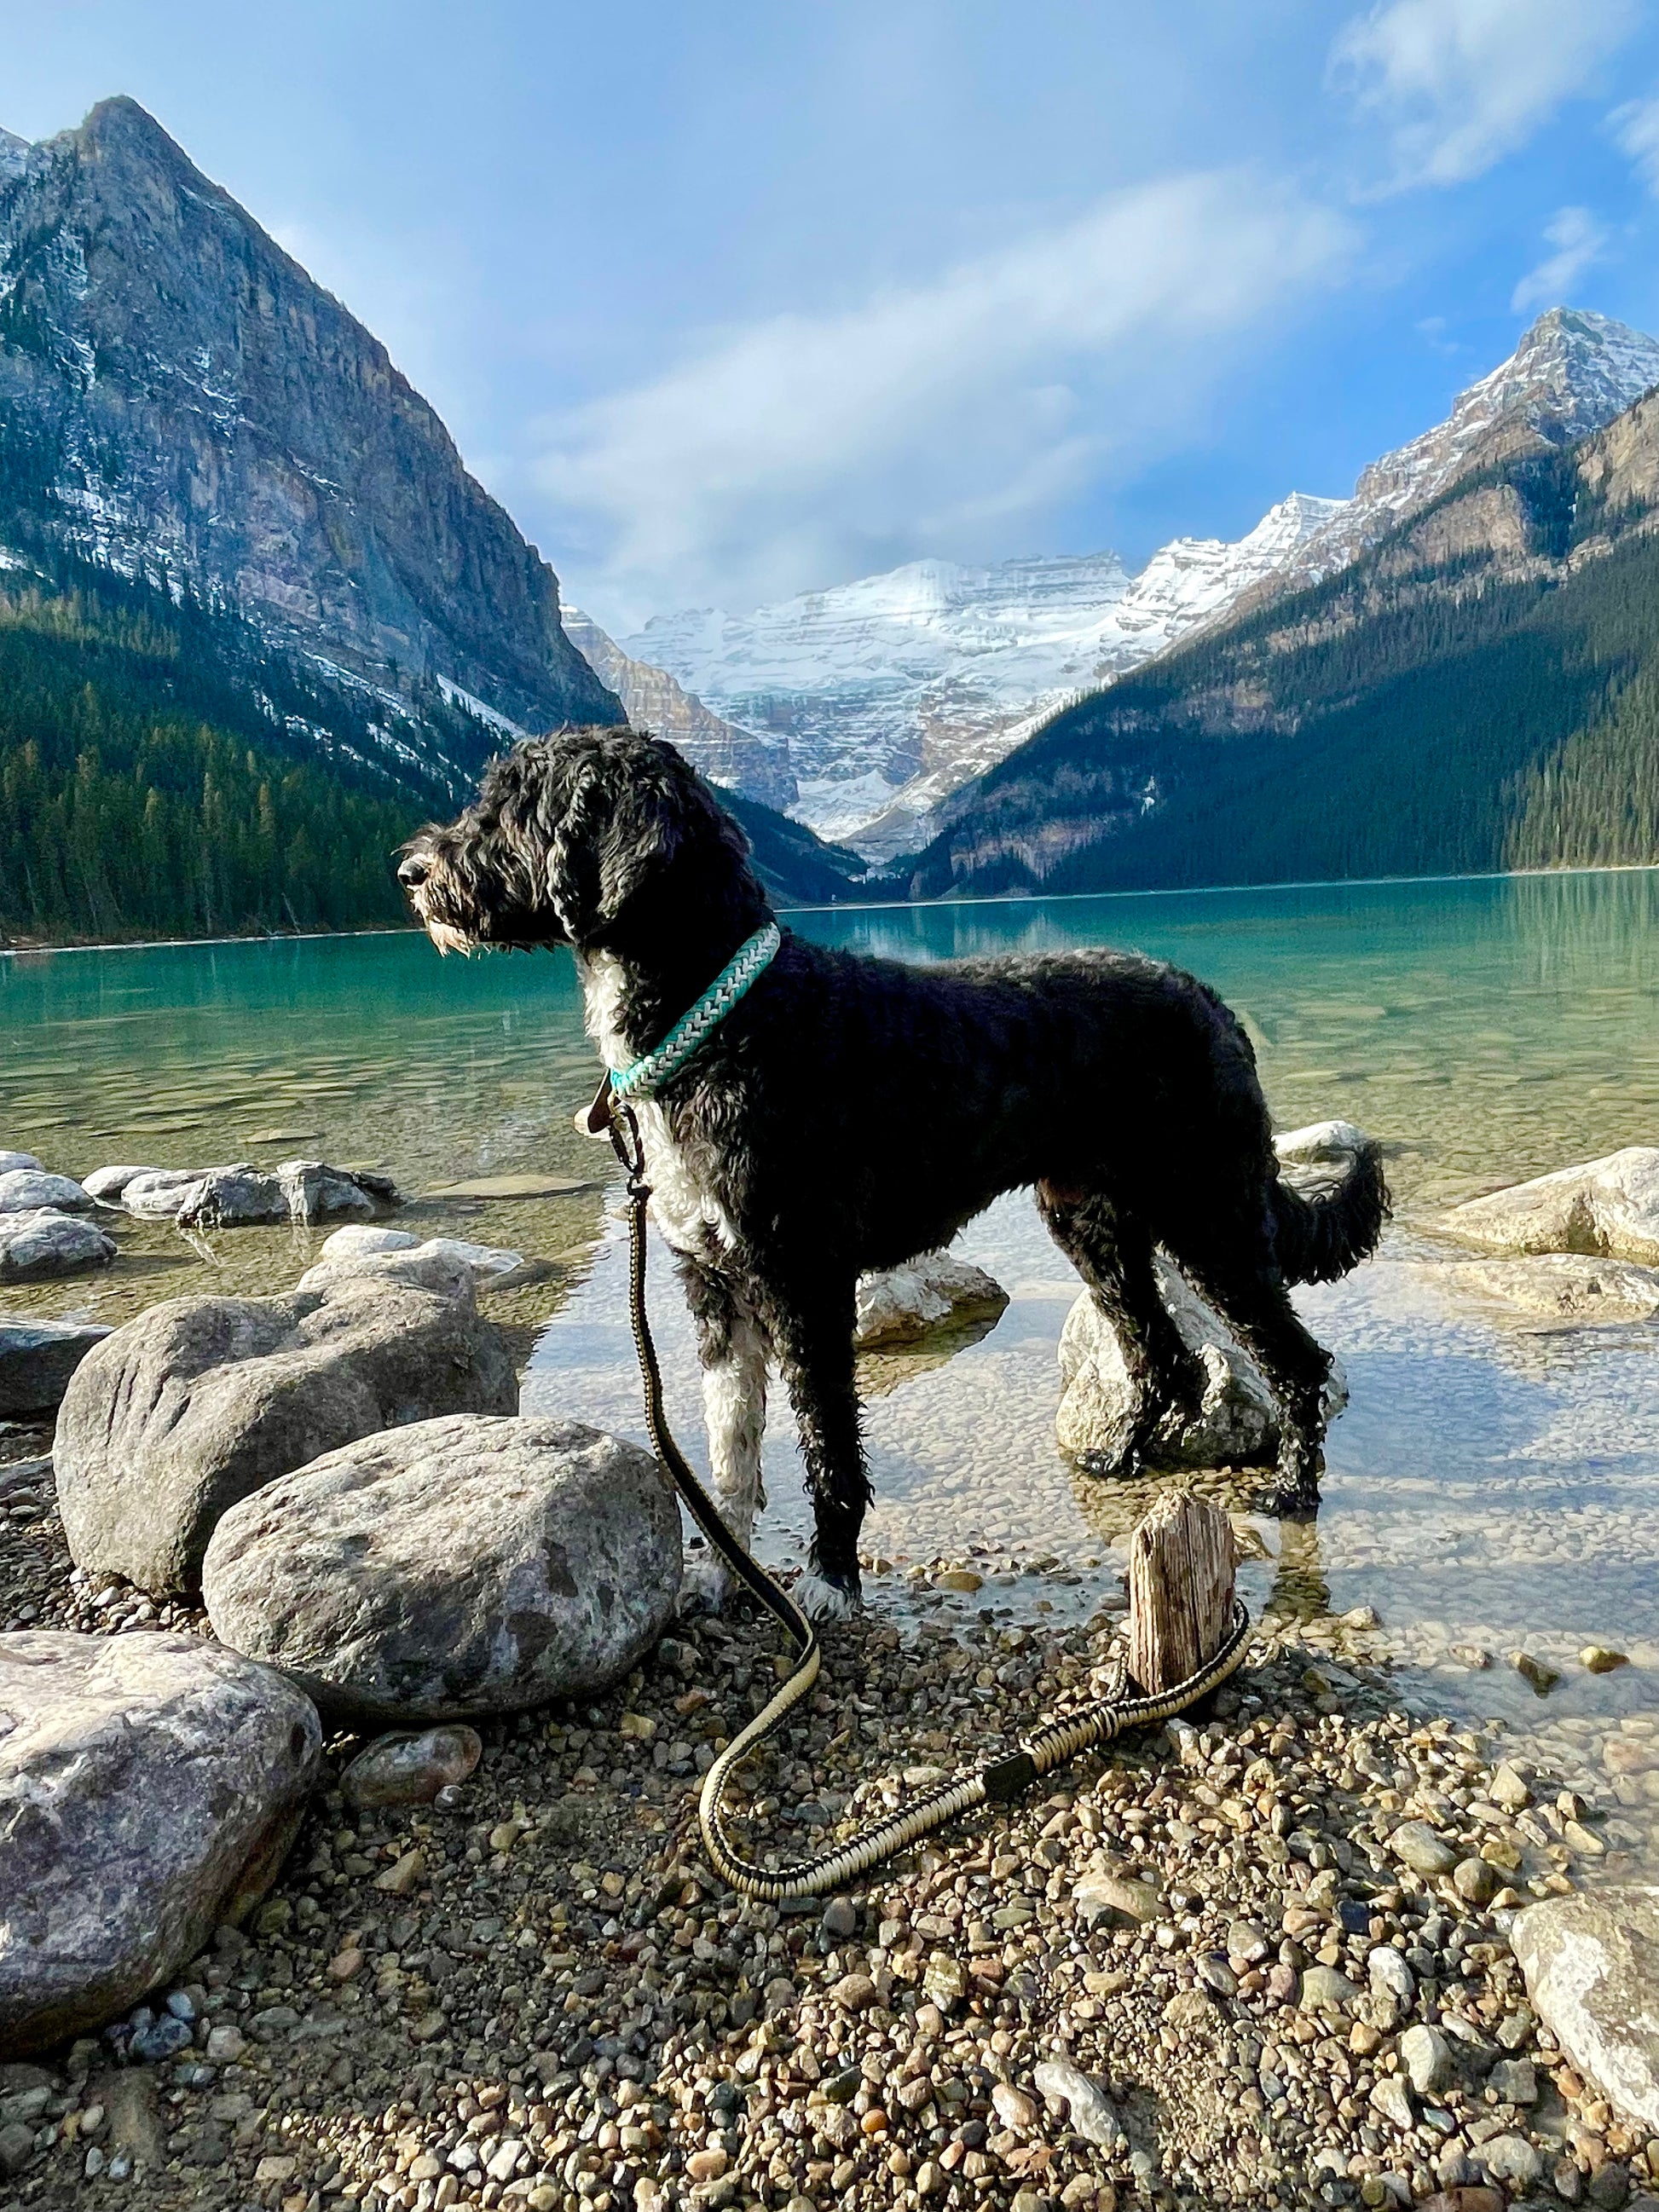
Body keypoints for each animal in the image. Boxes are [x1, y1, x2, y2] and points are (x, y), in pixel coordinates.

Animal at [402, 730, 1389, 1627]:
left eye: (514, 805)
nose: (409, 869)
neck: (726, 1021)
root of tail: (1211, 1002)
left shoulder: (801, 1281)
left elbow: (827, 1446)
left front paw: (830, 1579)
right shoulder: (712, 1284)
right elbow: (728, 1451)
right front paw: (724, 1571)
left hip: (1209, 1209)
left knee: (1295, 1362)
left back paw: (1293, 1491)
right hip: (1094, 1224)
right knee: (1166, 1356)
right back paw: (1123, 1460)